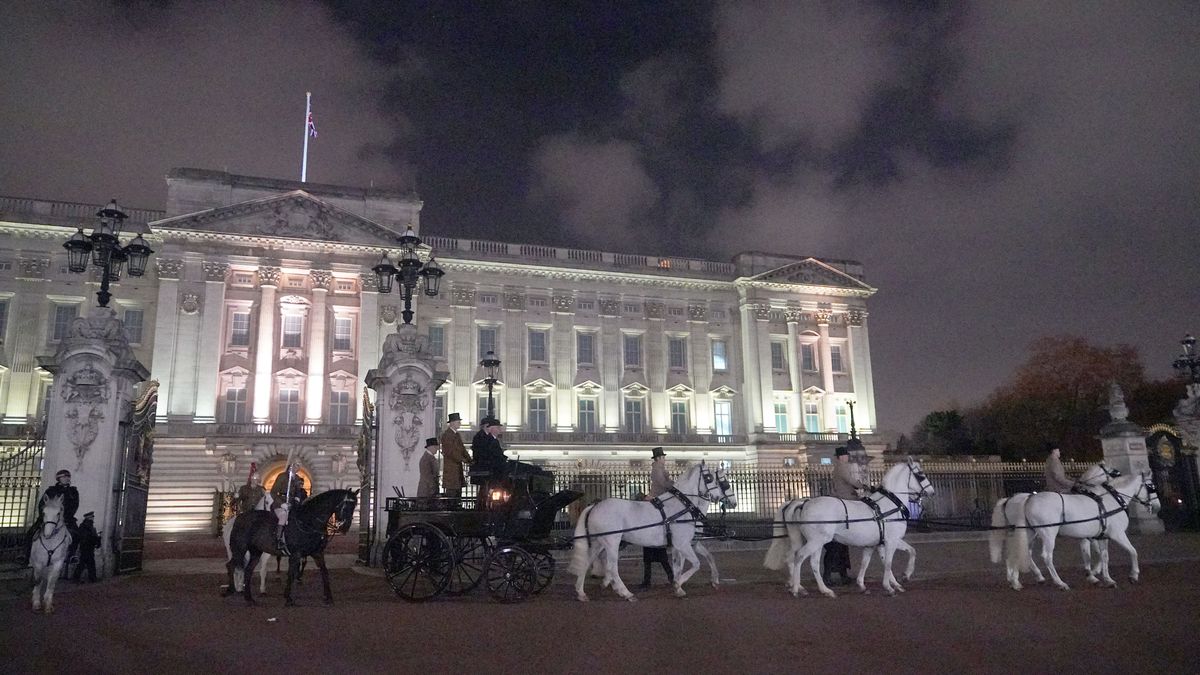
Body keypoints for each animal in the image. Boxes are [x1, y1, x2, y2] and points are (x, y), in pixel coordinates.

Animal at [224, 482, 355, 605]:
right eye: (345, 506)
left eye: (354, 506)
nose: (345, 527)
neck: (309, 522)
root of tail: (239, 517)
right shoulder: (296, 554)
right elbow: (291, 574)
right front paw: (288, 598)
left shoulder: (317, 553)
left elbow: (324, 572)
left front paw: (329, 597)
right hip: (239, 549)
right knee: (231, 565)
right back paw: (231, 590)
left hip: (256, 552)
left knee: (248, 571)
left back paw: (249, 598)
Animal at [568, 461, 734, 598]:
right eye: (710, 478)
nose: (733, 502)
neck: (683, 508)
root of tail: (594, 506)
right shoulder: (682, 544)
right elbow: (696, 564)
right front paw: (677, 584)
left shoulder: (684, 545)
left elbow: (681, 565)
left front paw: (679, 587)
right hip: (612, 542)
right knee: (612, 567)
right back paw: (625, 592)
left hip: (598, 542)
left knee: (588, 561)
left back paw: (581, 592)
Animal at [763, 456, 931, 593]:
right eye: (921, 475)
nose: (932, 492)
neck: (889, 506)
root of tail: (804, 503)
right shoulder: (891, 541)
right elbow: (890, 563)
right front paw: (893, 584)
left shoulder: (876, 544)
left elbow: (873, 562)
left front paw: (872, 584)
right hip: (817, 541)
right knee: (800, 557)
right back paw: (798, 589)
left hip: (810, 541)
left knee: (804, 560)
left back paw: (819, 589)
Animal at [988, 461, 1118, 588]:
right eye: (1110, 470)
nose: (1118, 473)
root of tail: (1009, 500)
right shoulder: (1092, 535)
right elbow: (1100, 553)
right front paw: (1096, 574)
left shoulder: (1088, 535)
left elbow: (1095, 553)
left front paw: (1094, 574)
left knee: (1020, 552)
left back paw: (1019, 579)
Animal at [1017, 468, 1156, 588]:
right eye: (1151, 486)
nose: (1155, 506)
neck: (1112, 500)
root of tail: (1030, 498)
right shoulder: (1118, 534)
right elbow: (1133, 551)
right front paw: (1134, 575)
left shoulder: (1101, 537)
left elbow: (1103, 556)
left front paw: (1106, 579)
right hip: (1048, 534)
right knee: (1047, 556)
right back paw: (1060, 583)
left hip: (1031, 533)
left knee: (1025, 552)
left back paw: (1029, 579)